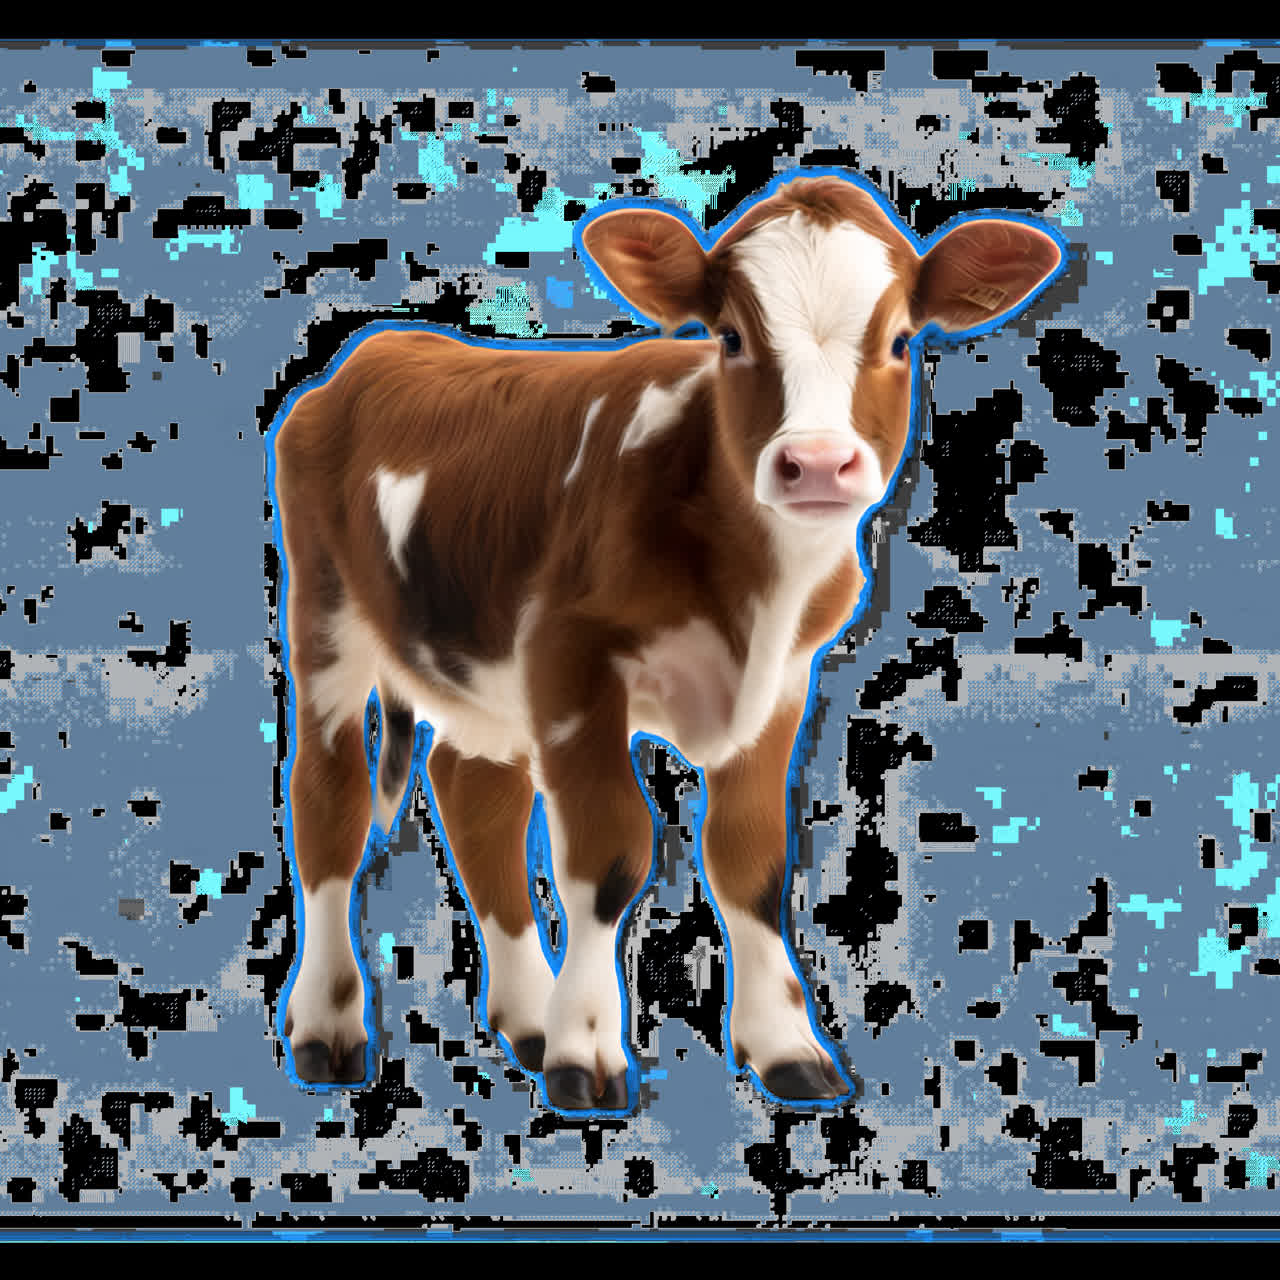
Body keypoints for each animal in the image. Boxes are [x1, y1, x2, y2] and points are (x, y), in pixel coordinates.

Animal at [272, 171, 1063, 1111]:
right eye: (730, 336)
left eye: (902, 339)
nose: (818, 463)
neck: (749, 585)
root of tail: (381, 346)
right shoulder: (570, 660)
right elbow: (609, 853)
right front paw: (586, 1052)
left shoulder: (783, 683)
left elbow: (752, 861)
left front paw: (783, 1046)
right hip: (326, 610)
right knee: (329, 798)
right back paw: (329, 1026)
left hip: (479, 669)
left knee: (473, 794)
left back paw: (526, 1019)